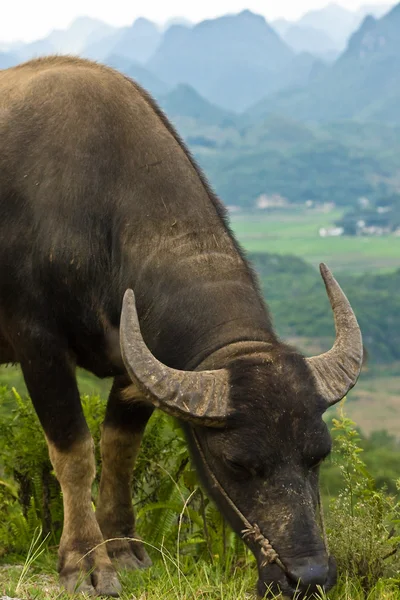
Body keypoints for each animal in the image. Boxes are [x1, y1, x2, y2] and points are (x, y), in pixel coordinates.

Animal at [0, 55, 362, 596]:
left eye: (319, 455)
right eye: (237, 463)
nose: (309, 577)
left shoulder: (134, 364)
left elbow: (119, 448)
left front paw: (124, 547)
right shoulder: (38, 345)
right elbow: (75, 451)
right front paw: (86, 561)